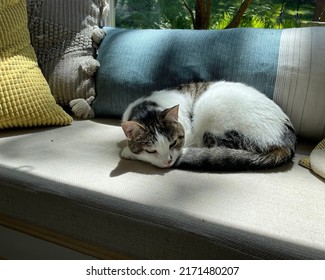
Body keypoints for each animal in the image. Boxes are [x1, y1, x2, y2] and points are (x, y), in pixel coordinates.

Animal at [120, 81, 294, 171]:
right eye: (151, 150)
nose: (168, 161)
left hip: (210, 113)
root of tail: (286, 141)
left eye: (173, 143)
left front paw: (128, 151)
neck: (148, 107)